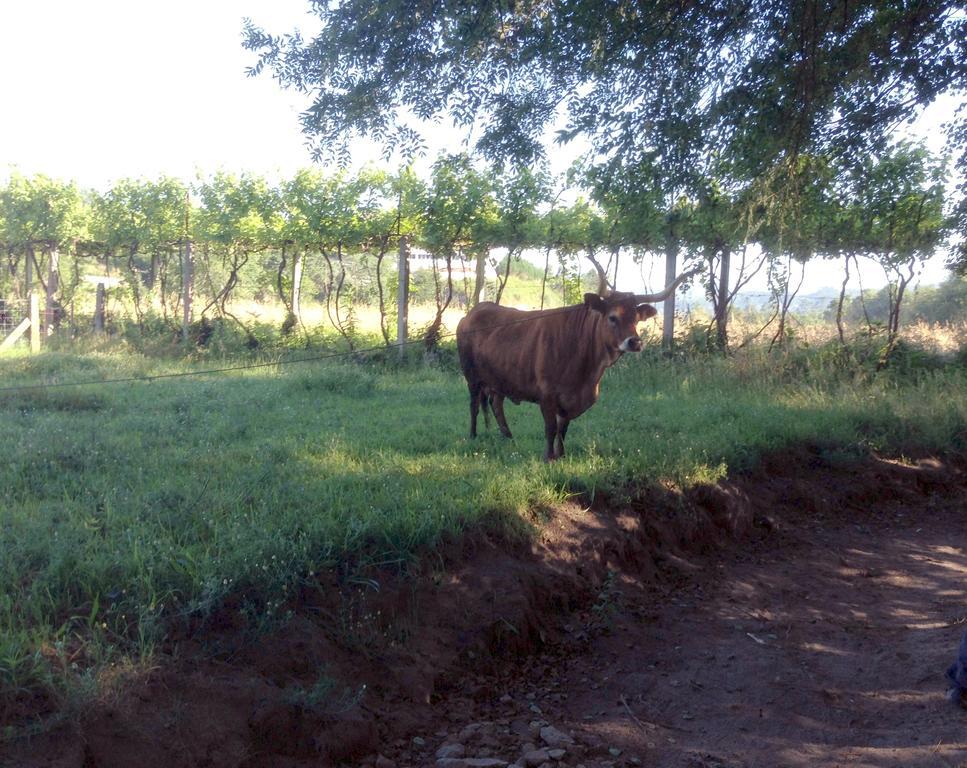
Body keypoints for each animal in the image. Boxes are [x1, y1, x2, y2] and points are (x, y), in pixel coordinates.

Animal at [456, 272, 692, 462]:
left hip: (499, 379)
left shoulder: (570, 400)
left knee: (495, 403)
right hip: (471, 377)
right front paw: (548, 457)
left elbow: (563, 429)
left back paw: (508, 437)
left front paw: (561, 455)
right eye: (612, 317)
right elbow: (551, 428)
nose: (634, 342)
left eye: (636, 319)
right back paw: (473, 436)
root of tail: (473, 311)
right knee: (474, 405)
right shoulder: (547, 395)